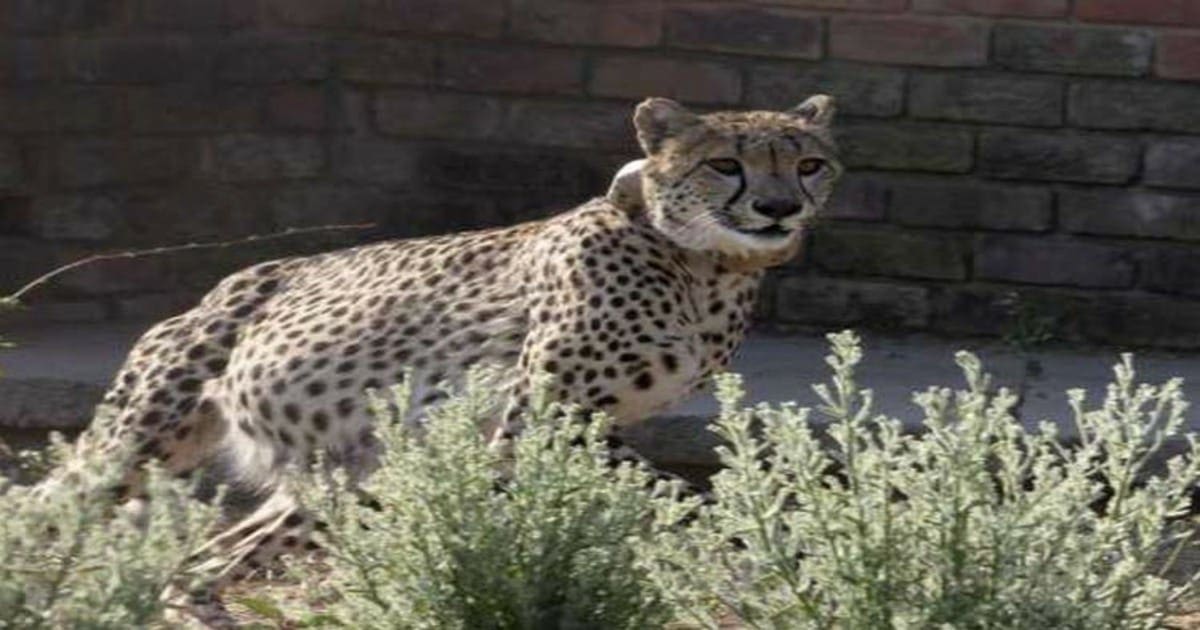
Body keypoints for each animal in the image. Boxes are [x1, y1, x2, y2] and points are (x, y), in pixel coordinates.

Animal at [40, 94, 843, 614]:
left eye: (808, 164)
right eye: (725, 165)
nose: (779, 208)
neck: (706, 267)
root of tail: (217, 291)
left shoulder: (591, 423)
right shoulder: (539, 420)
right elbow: (670, 493)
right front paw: (752, 546)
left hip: (345, 476)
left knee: (215, 558)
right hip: (138, 444)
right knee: (52, 507)